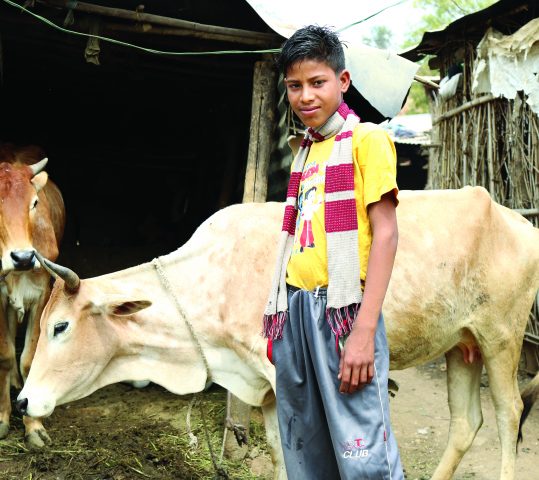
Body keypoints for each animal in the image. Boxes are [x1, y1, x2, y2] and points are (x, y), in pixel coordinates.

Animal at [16, 186, 539, 480]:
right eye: (43, 325)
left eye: (61, 326)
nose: (22, 402)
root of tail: (515, 218)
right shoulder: (262, 389)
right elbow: (278, 453)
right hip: (462, 345)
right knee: (466, 424)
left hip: (501, 337)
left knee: (509, 412)